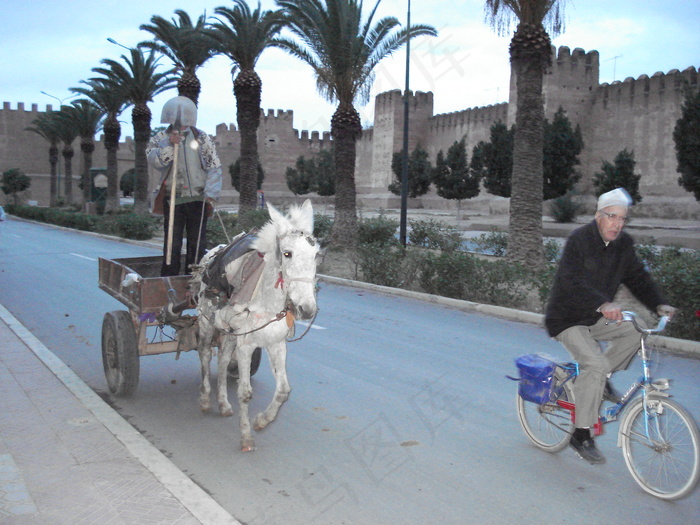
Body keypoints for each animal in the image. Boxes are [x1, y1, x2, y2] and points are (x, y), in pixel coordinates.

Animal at [193, 201, 322, 450]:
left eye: (316, 255)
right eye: (287, 253)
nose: (307, 309)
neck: (268, 302)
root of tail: (214, 251)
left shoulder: (276, 344)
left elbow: (283, 391)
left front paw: (262, 421)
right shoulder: (246, 346)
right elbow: (245, 393)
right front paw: (246, 437)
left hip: (229, 331)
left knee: (223, 359)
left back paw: (223, 403)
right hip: (206, 321)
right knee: (204, 353)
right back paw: (204, 398)